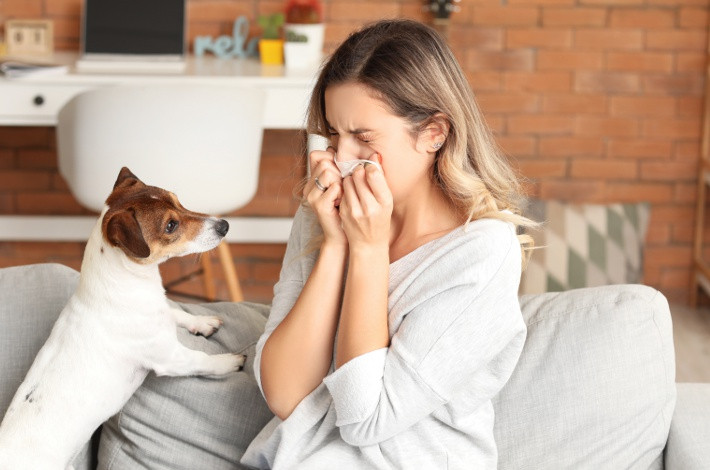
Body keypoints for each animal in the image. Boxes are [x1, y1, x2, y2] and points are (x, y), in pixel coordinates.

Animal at [0, 167, 248, 468]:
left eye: (179, 200)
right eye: (170, 225)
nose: (224, 225)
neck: (127, 285)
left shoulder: (161, 312)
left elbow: (175, 311)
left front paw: (202, 322)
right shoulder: (170, 358)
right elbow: (202, 360)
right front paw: (229, 361)